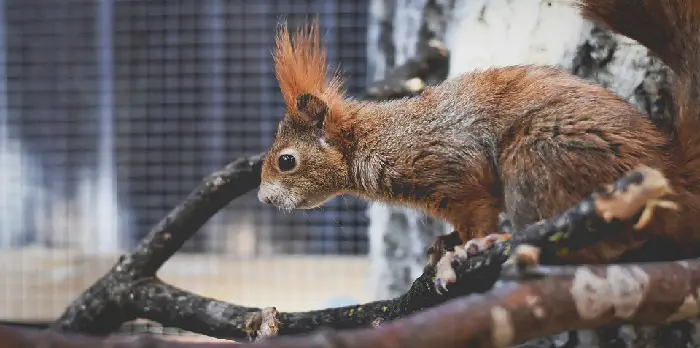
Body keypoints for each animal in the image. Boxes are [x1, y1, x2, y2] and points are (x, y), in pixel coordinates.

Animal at [260, 0, 700, 290]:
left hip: (537, 161)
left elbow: (478, 211)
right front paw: (445, 242)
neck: (376, 137)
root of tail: (673, 178)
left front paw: (462, 250)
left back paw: (501, 242)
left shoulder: (454, 173)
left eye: (286, 161)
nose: (264, 199)